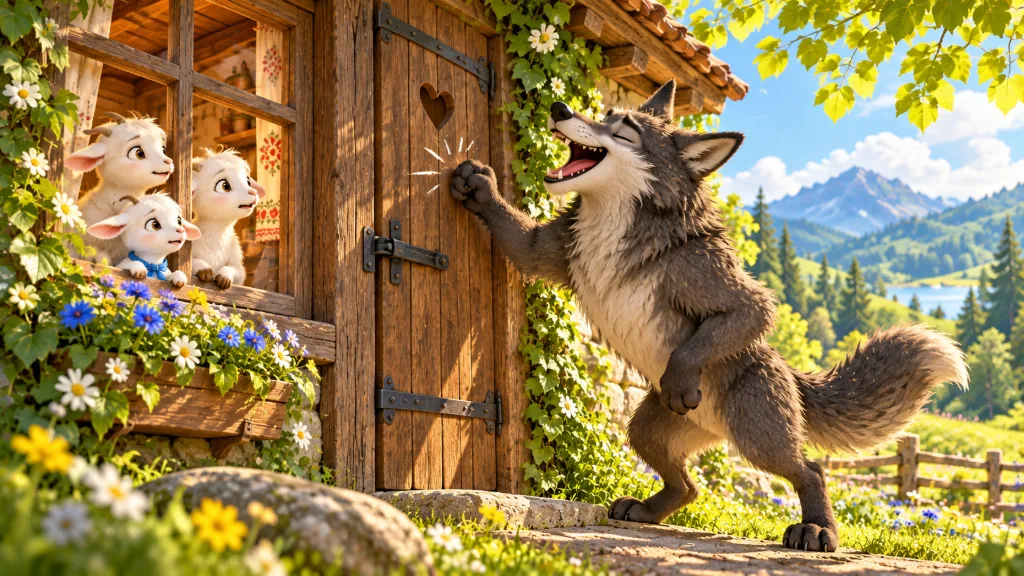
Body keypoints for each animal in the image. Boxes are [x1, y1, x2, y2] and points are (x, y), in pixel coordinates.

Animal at [449, 80, 969, 552]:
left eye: (624, 130)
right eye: (602, 113)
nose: (558, 108)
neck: (612, 224)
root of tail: (791, 377)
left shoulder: (738, 298)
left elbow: (715, 333)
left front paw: (682, 380)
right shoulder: (543, 252)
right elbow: (513, 228)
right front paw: (476, 185)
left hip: (760, 438)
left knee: (812, 471)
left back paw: (816, 531)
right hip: (646, 431)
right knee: (690, 487)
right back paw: (647, 510)